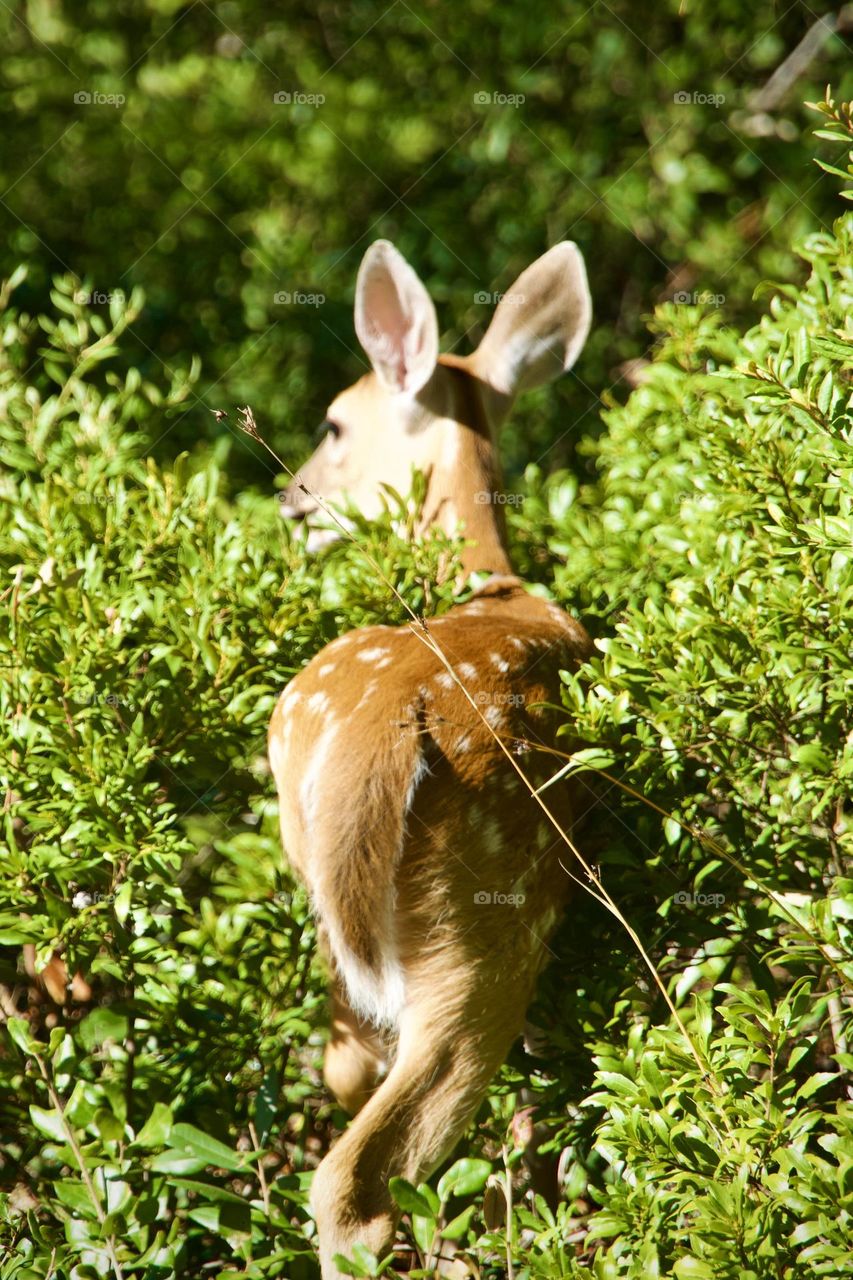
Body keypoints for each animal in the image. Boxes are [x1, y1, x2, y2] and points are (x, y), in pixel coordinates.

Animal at [269, 238, 595, 1276]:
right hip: (484, 921)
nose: (289, 502)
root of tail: (379, 731)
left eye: (333, 423)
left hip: (349, 902)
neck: (489, 579)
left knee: (344, 1087)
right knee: (358, 1180)